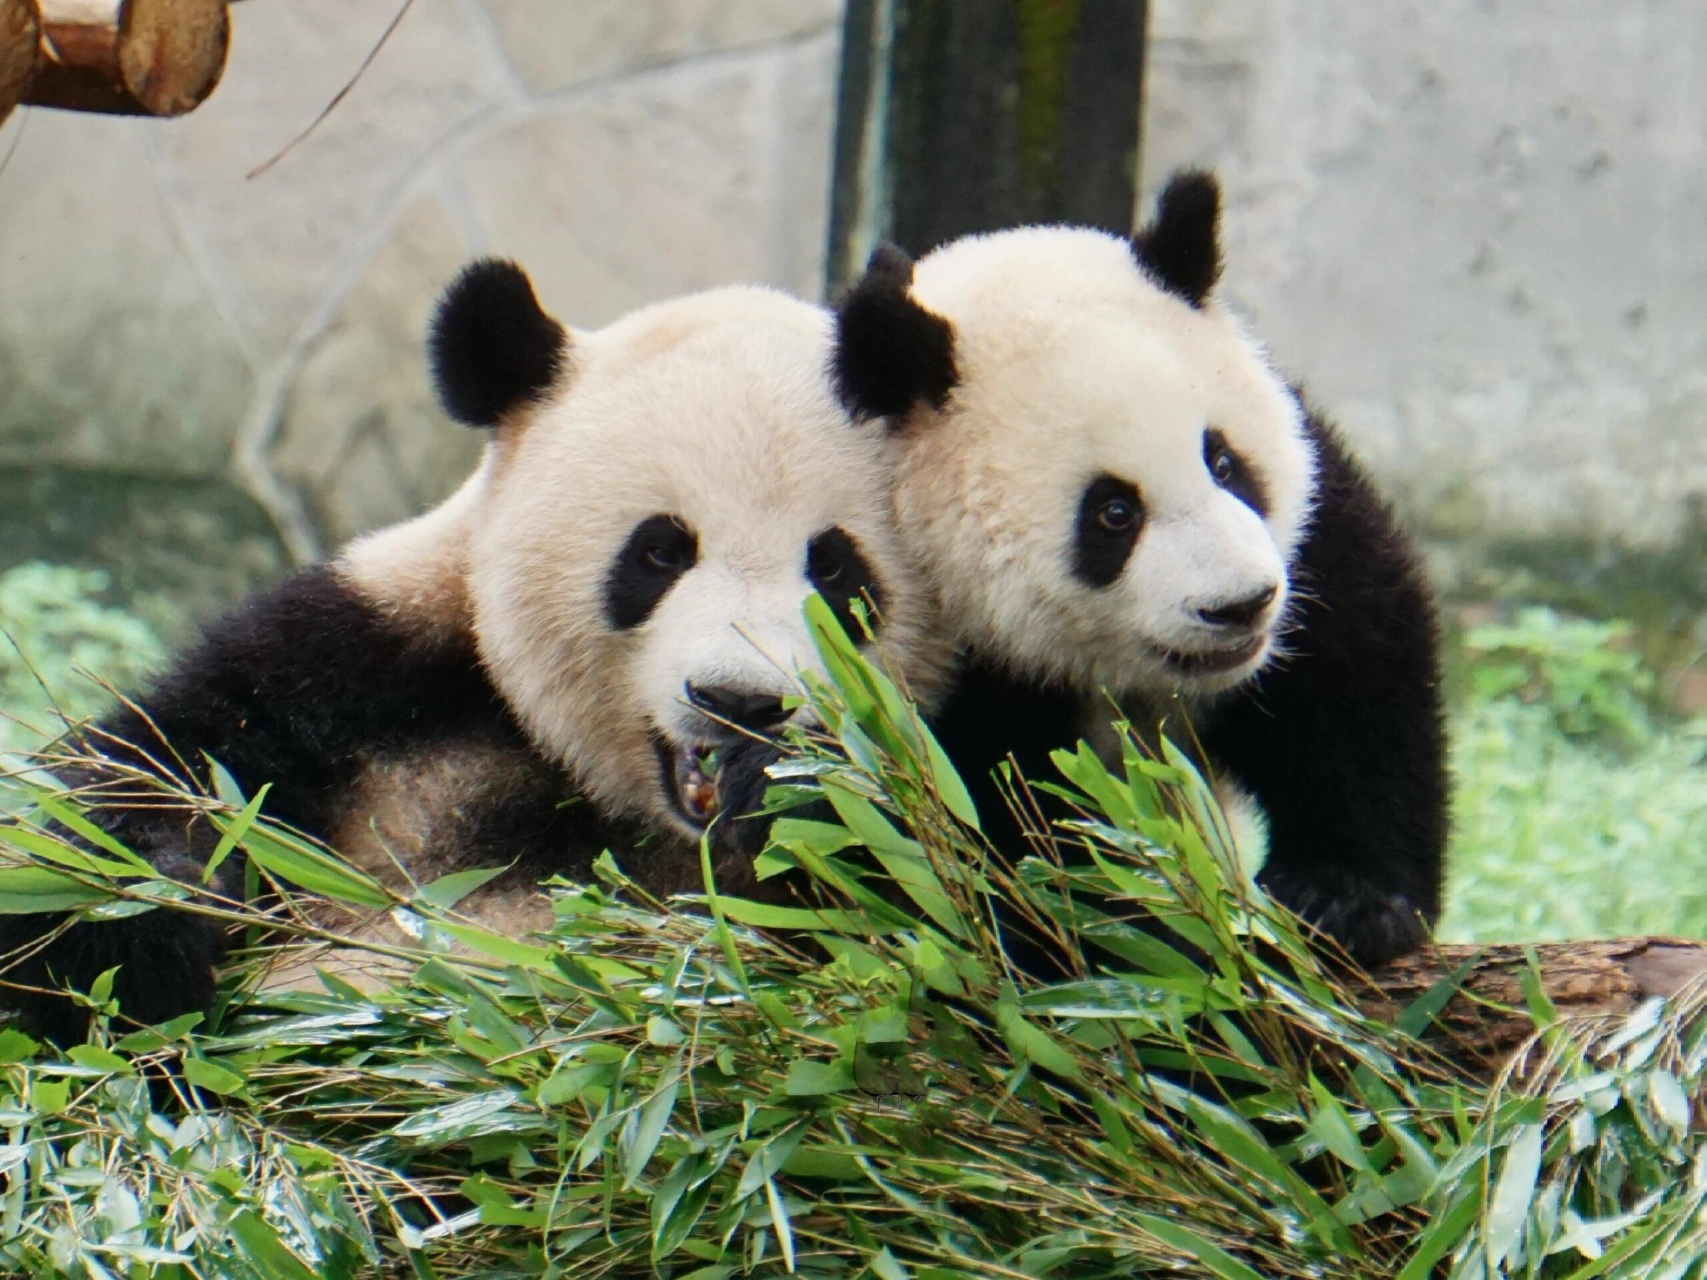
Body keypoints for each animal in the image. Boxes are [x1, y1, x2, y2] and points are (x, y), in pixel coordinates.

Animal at [0, 262, 955, 1051]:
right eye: (658, 552)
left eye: (832, 568)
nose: (740, 703)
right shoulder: (363, 665)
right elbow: (154, 777)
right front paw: (137, 930)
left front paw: (786, 787)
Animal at [833, 173, 1447, 969]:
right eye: (1113, 513)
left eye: (1224, 462)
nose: (1240, 605)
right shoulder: (926, 646)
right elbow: (1003, 832)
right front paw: (1151, 933)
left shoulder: (1314, 536)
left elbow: (1355, 683)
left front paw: (1346, 900)